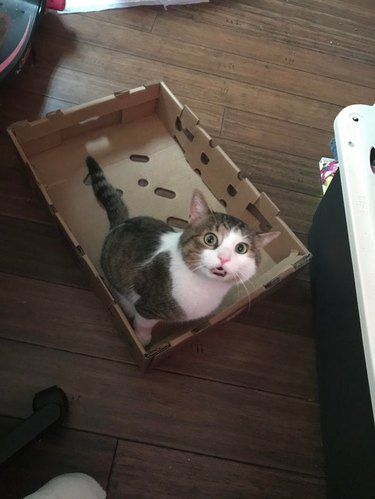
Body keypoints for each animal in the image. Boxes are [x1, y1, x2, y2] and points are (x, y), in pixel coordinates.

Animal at [85, 156, 280, 348]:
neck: (204, 286)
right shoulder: (147, 306)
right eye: (210, 239)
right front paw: (142, 338)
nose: (223, 258)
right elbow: (144, 322)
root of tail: (120, 223)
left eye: (241, 248)